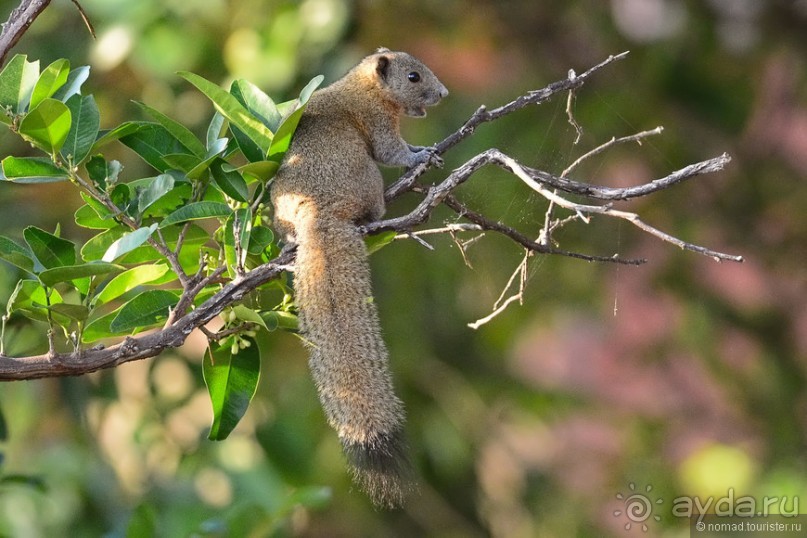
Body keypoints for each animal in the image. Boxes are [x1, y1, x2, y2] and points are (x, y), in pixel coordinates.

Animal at [270, 47, 448, 506]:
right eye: (413, 76)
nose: (443, 93)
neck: (361, 86)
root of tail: (319, 212)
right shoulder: (380, 126)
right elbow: (395, 152)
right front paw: (421, 155)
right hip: (369, 179)